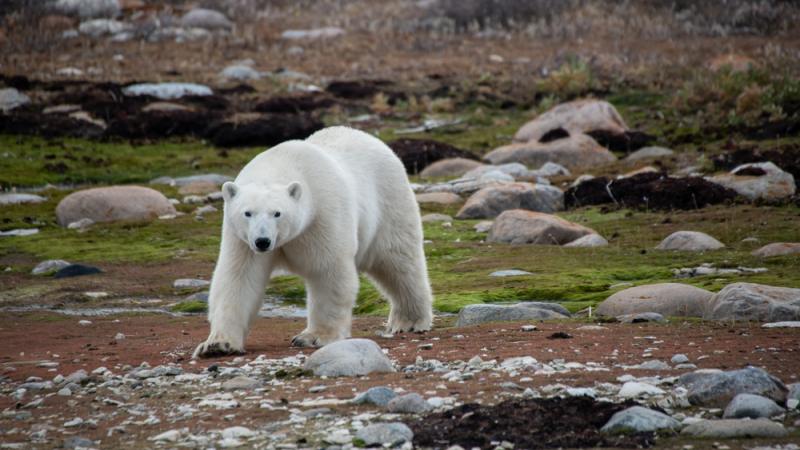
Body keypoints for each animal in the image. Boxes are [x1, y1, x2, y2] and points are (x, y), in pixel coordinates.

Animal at [193, 125, 432, 356]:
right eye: (247, 213)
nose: (263, 241)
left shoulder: (322, 216)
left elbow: (328, 271)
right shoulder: (241, 240)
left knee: (398, 261)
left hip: (389, 202)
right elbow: (239, 278)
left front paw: (313, 337)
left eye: (277, 213)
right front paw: (217, 344)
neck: (283, 163)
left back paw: (409, 320)